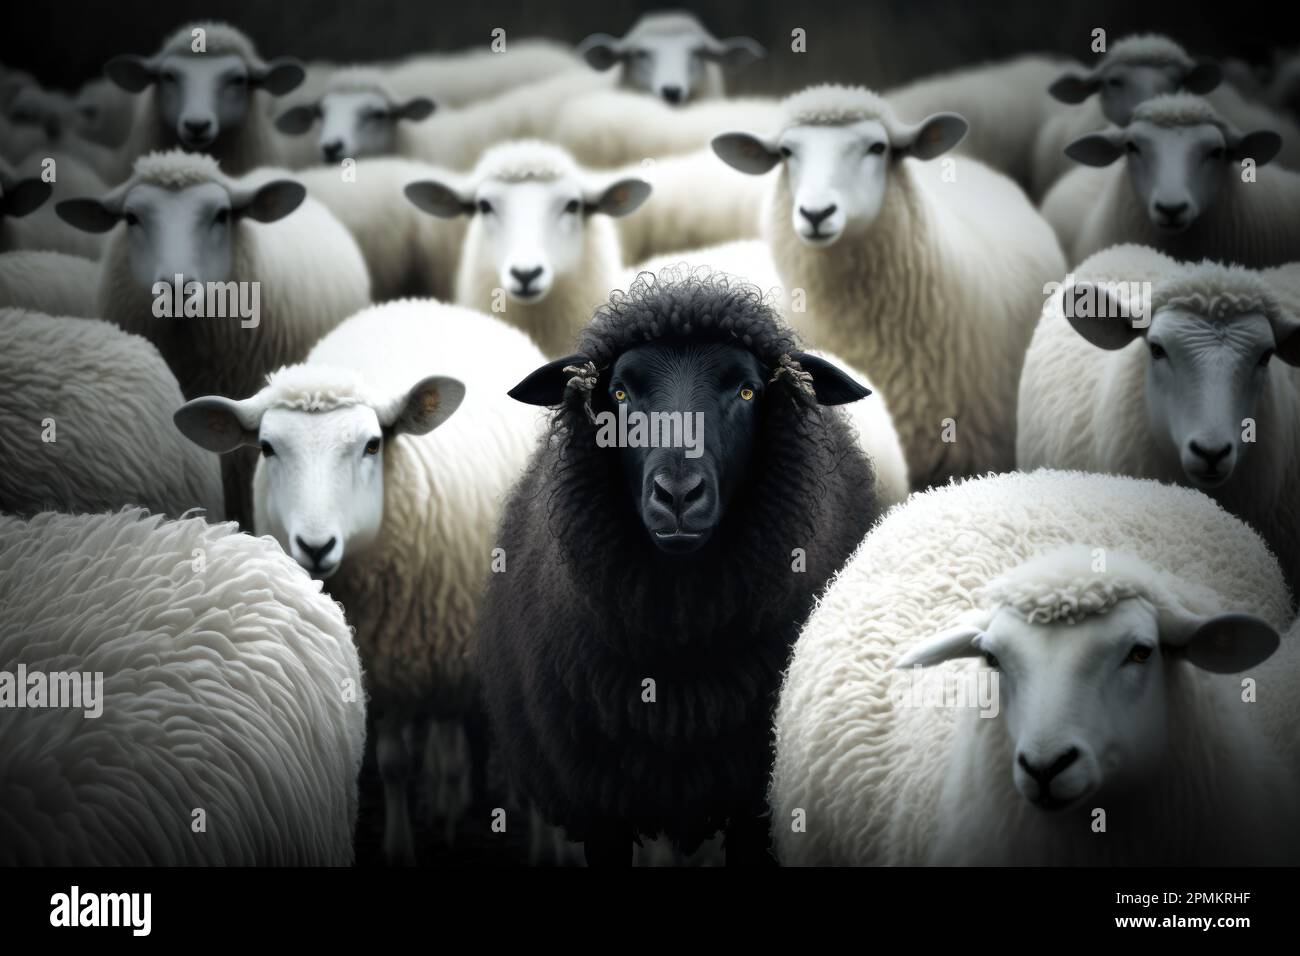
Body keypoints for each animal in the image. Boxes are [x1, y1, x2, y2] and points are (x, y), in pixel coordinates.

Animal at [174, 298, 546, 866]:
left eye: (373, 444)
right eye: (267, 447)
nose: (315, 545)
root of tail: (428, 303)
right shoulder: (383, 670)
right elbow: (392, 763)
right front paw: (401, 842)